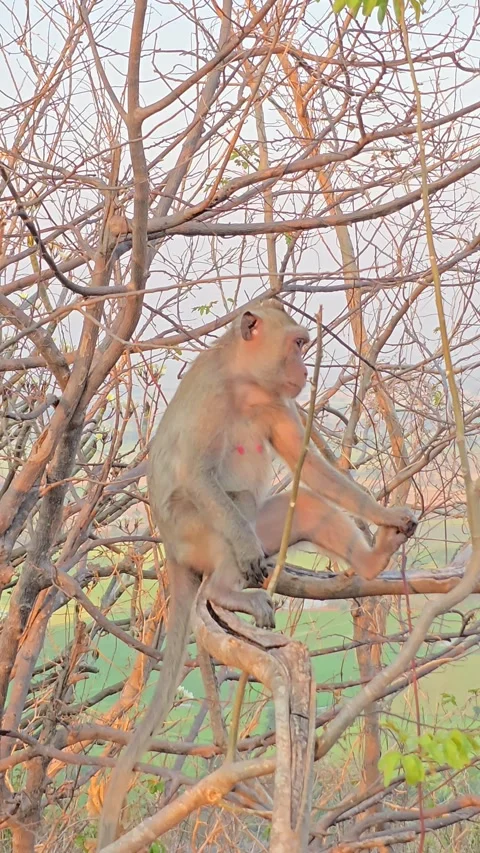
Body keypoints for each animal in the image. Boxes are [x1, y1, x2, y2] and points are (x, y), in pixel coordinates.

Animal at [97, 299, 417, 849]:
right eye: (297, 344)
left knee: (303, 505)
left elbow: (313, 471)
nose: (304, 369)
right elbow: (197, 472)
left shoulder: (275, 403)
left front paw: (384, 515)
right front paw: (242, 556)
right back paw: (229, 587)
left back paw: (371, 560)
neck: (245, 383)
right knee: (234, 504)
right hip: (191, 533)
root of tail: (174, 556)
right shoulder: (212, 394)